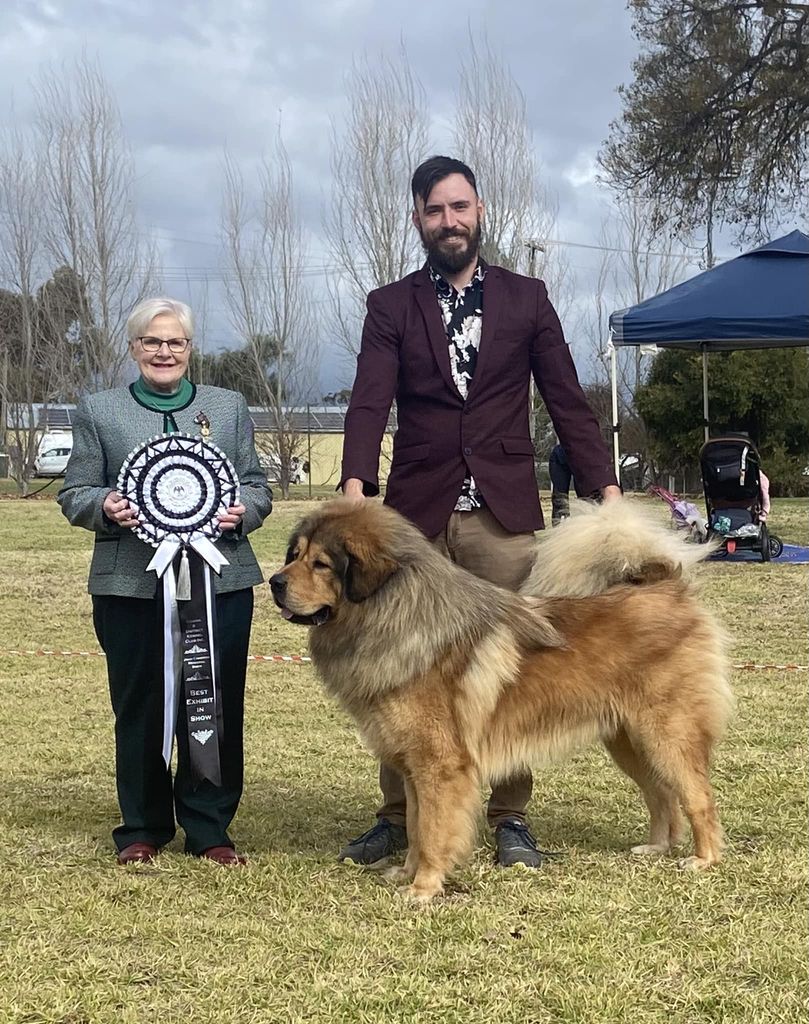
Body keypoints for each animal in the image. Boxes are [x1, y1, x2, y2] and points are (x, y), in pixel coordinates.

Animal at [272, 499, 733, 901]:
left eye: (321, 564)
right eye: (295, 554)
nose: (275, 582)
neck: (394, 615)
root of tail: (666, 586)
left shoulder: (440, 767)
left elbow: (433, 832)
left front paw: (423, 887)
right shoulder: (415, 769)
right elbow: (417, 827)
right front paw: (407, 872)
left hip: (666, 735)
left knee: (698, 797)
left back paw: (704, 859)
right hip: (628, 742)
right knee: (661, 795)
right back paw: (657, 848)